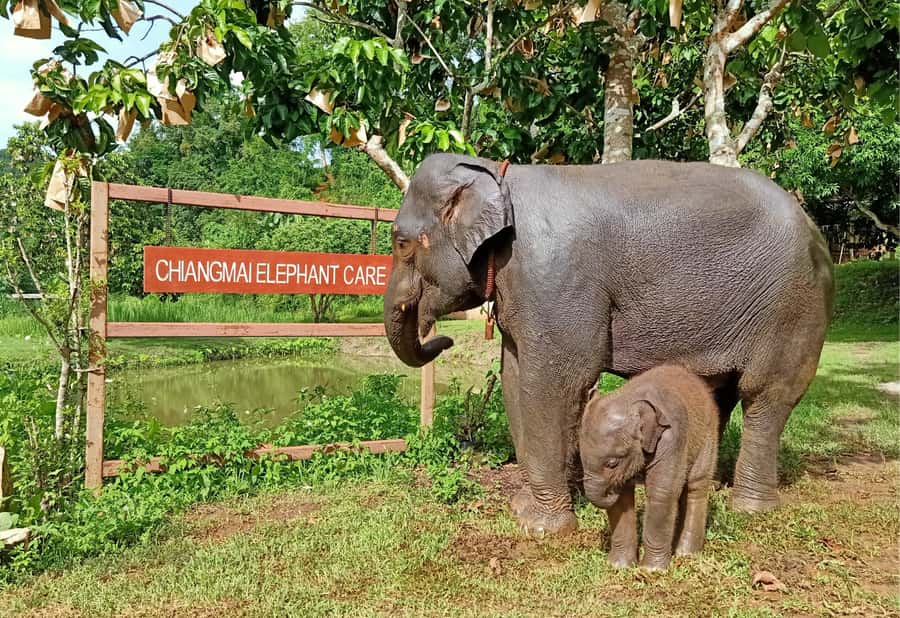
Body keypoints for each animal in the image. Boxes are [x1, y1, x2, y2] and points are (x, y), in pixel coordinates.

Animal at [383, 153, 834, 537]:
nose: (444, 338)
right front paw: (524, 508)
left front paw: (544, 528)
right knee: (714, 396)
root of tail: (814, 227)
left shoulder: (556, 278)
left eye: (401, 243)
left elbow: (554, 383)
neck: (499, 174)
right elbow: (514, 378)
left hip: (792, 309)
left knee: (765, 397)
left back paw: (750, 508)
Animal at [580, 365, 720, 570]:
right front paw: (619, 567)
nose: (608, 491)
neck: (630, 399)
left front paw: (651, 571)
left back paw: (686, 554)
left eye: (612, 463)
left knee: (696, 486)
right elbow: (622, 500)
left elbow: (662, 493)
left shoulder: (672, 439)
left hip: (708, 434)